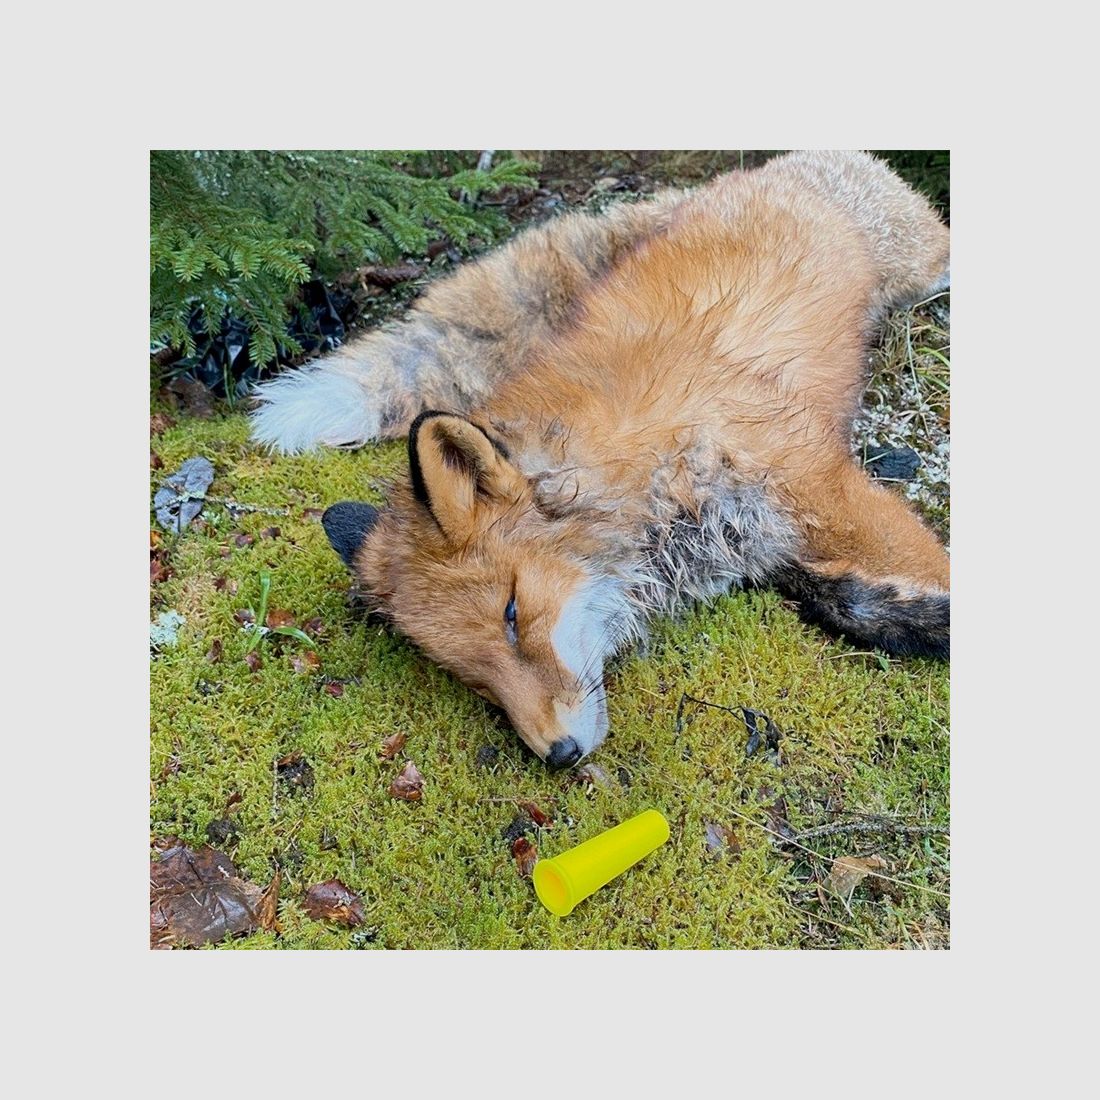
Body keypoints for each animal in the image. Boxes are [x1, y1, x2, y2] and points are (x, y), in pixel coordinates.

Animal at [251, 150, 950, 768]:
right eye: (470, 676)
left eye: (512, 615)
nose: (557, 756)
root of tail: (764, 170)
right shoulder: (756, 540)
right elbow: (839, 595)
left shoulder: (811, 477)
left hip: (921, 261)